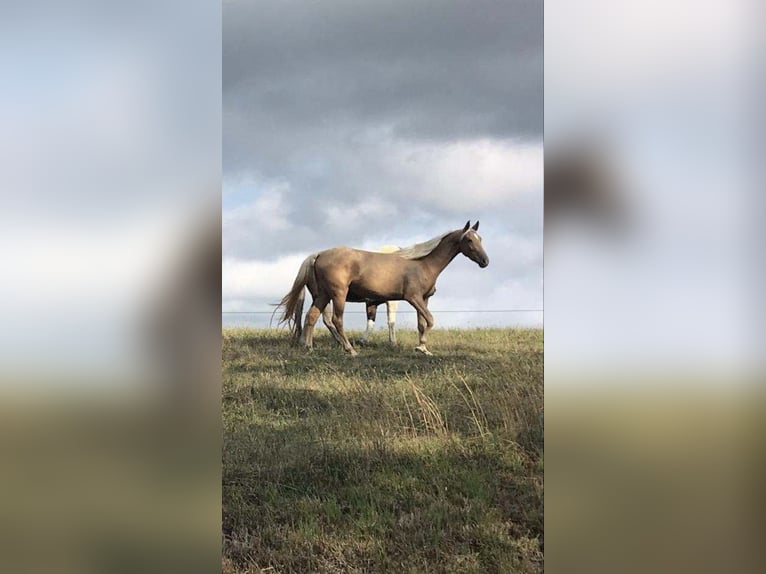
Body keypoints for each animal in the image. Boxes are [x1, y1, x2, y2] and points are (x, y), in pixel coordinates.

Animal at [280, 223, 488, 358]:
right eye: (469, 240)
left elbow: (422, 324)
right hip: (338, 295)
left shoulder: (424, 299)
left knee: (312, 316)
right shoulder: (413, 298)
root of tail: (318, 254)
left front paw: (423, 348)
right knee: (336, 320)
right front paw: (420, 347)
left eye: (480, 238)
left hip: (323, 295)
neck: (422, 263)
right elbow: (429, 320)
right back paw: (350, 349)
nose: (485, 261)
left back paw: (308, 347)